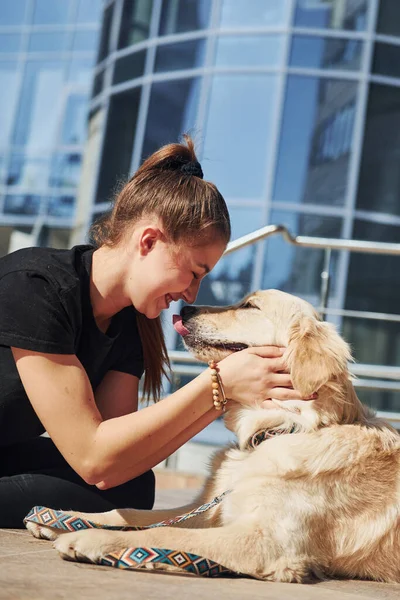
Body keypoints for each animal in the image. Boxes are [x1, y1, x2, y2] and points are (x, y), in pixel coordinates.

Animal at [26, 290, 398, 580]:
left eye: (250, 305)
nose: (186, 308)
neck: (277, 429)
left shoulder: (267, 541)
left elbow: (167, 535)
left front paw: (92, 540)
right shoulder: (208, 510)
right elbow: (132, 514)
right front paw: (66, 519)